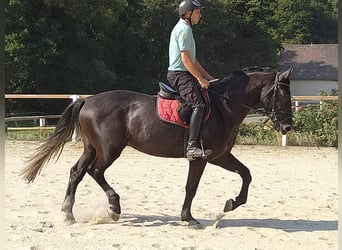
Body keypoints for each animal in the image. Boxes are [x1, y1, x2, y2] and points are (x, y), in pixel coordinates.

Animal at [21, 68, 292, 227]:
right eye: (281, 95)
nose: (288, 126)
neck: (223, 107)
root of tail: (88, 101)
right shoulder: (201, 158)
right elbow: (191, 187)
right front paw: (188, 218)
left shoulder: (220, 156)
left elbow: (246, 174)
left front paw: (231, 204)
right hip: (109, 150)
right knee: (94, 172)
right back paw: (114, 207)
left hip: (92, 148)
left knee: (76, 172)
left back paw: (69, 214)